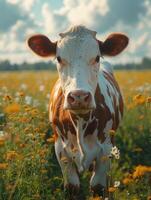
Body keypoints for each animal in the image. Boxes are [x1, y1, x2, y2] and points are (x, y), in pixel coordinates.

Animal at [27, 25, 129, 198]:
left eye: (97, 57)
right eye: (59, 58)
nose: (79, 96)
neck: (81, 121)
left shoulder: (105, 149)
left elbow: (98, 186)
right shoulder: (61, 149)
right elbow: (72, 186)